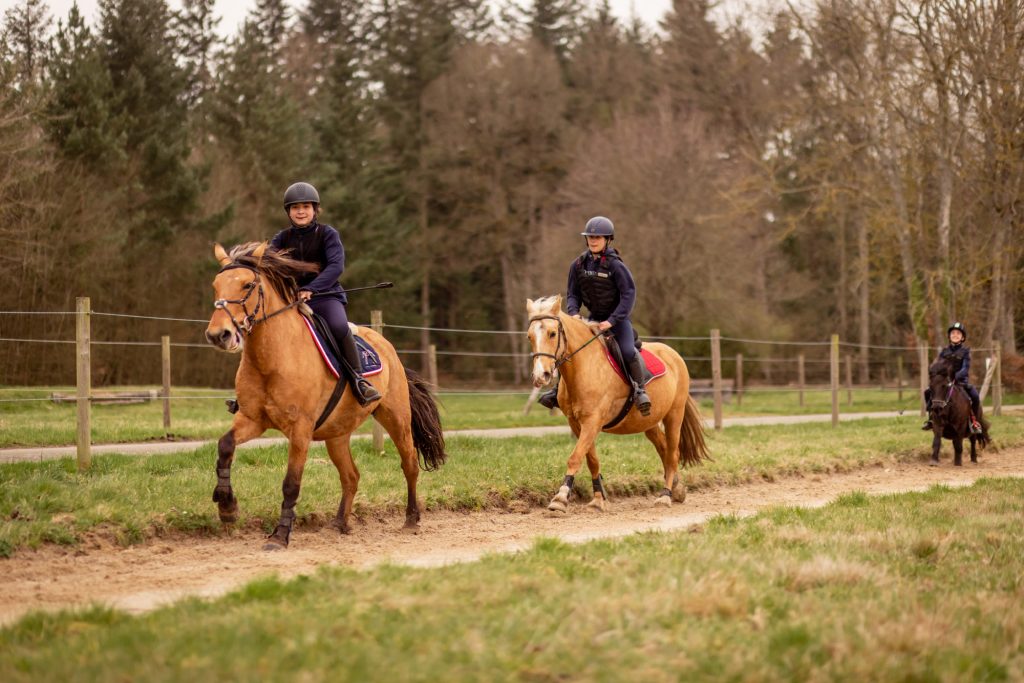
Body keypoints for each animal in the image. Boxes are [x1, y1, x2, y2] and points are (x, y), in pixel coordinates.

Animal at [205, 241, 446, 548]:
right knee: (351, 476)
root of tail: (386, 345)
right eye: (216, 286)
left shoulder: (300, 429)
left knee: (410, 465)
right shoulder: (253, 419)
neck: (272, 358)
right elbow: (225, 446)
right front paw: (227, 507)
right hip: (337, 434)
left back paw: (411, 519)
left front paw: (280, 535)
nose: (219, 335)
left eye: (247, 285)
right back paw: (340, 523)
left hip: (396, 418)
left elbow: (291, 483)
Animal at [524, 296, 708, 509]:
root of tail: (674, 355)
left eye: (552, 333)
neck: (584, 366)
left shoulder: (592, 421)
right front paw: (598, 499)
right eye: (529, 337)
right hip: (649, 422)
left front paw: (561, 497)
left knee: (672, 454)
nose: (541, 375)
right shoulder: (577, 423)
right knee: (664, 449)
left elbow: (575, 457)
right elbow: (591, 460)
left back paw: (665, 496)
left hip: (674, 415)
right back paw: (677, 488)